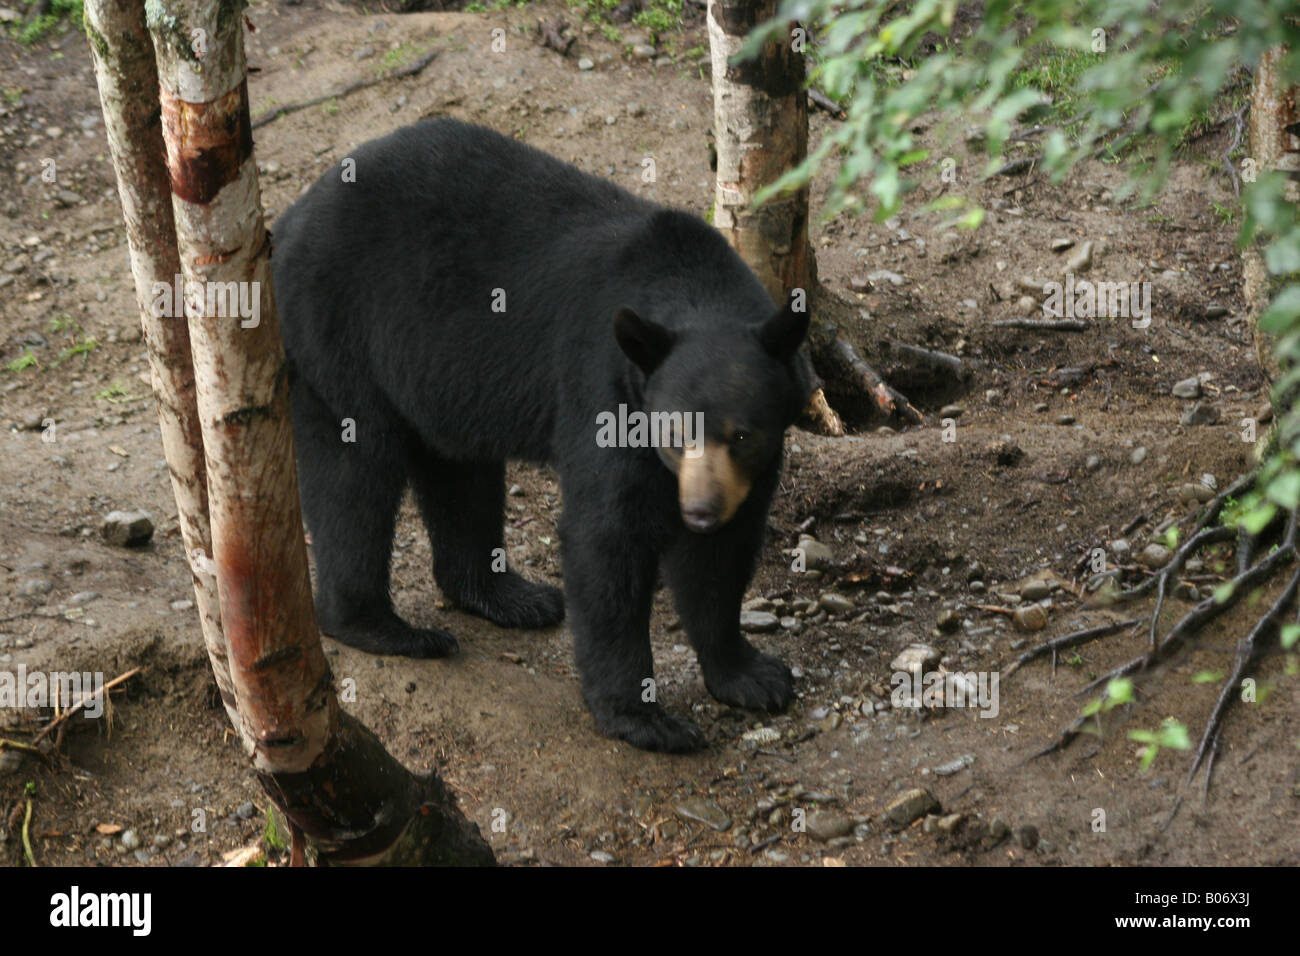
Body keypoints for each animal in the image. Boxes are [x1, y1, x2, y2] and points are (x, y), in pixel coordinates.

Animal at [270, 119, 806, 749]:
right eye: (674, 432)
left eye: (742, 436)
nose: (698, 510)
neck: (688, 283)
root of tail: (289, 219)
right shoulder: (603, 386)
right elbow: (607, 538)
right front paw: (646, 719)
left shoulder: (750, 457)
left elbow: (723, 554)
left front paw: (752, 676)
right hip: (338, 332)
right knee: (354, 480)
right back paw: (387, 627)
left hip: (438, 374)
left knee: (460, 476)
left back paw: (509, 596)